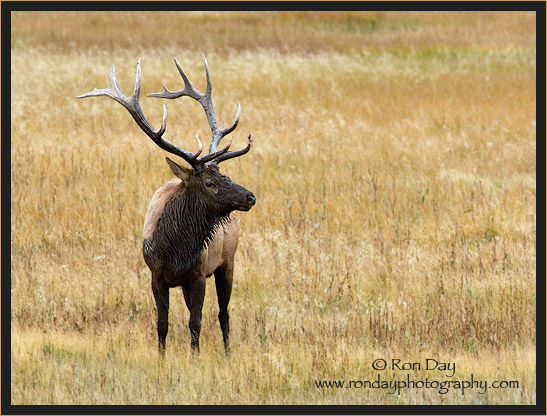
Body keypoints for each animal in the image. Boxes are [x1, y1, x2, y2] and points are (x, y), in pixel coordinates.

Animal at [78, 56, 256, 354]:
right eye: (209, 182)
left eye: (224, 175)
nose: (250, 196)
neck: (175, 250)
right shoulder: (157, 276)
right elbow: (162, 324)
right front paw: (162, 358)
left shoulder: (198, 275)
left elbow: (195, 323)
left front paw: (195, 358)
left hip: (227, 261)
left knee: (224, 313)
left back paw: (228, 353)